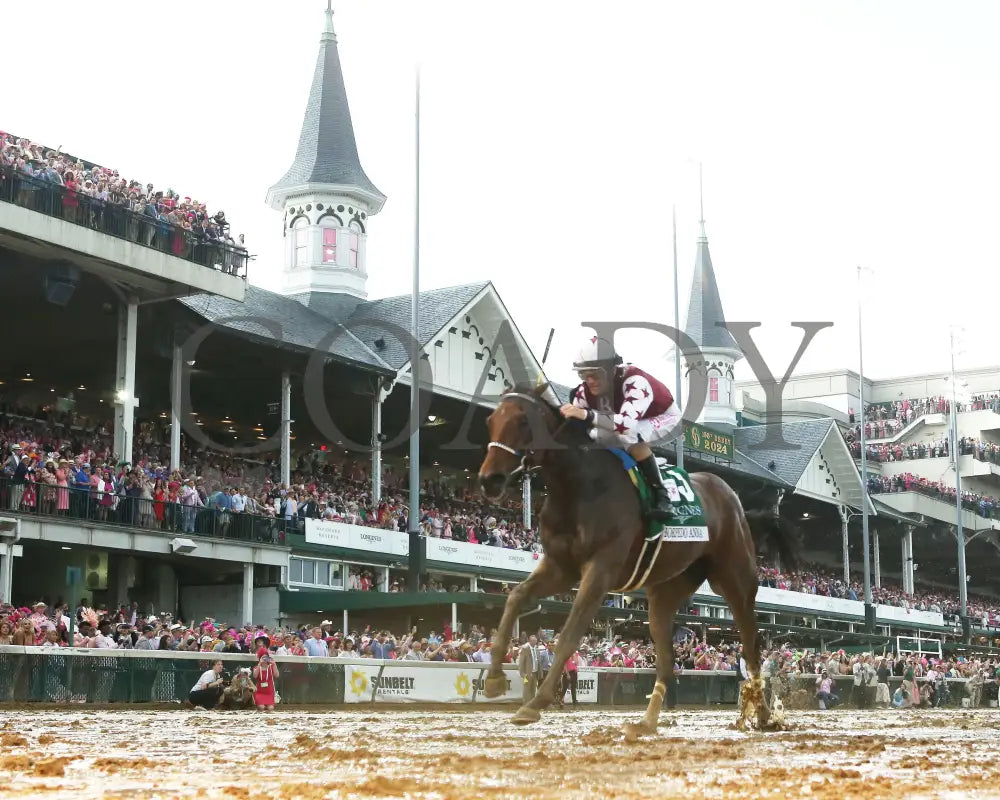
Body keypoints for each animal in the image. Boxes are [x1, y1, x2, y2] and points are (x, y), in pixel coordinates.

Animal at [476, 384, 796, 736]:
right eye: (490, 420)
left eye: (524, 421)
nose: (489, 479)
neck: (579, 487)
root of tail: (734, 499)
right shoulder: (561, 567)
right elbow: (516, 597)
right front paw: (494, 679)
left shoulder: (600, 570)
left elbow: (570, 633)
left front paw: (535, 703)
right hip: (666, 590)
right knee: (667, 661)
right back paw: (647, 721)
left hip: (736, 581)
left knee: (751, 647)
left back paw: (763, 715)